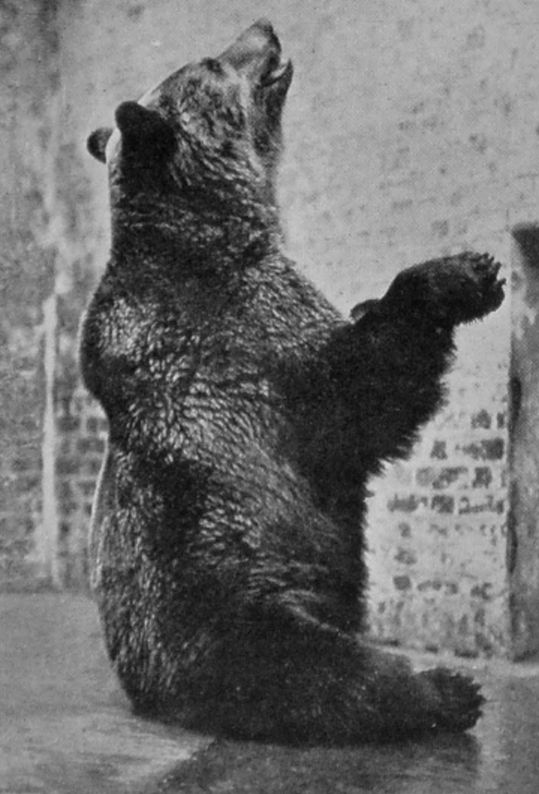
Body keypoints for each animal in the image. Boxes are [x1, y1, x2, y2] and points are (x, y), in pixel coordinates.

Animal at [81, 19, 505, 744]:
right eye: (213, 60)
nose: (265, 28)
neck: (209, 231)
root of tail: (154, 695)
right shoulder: (251, 346)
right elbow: (358, 398)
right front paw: (466, 274)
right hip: (240, 604)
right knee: (322, 674)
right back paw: (445, 691)